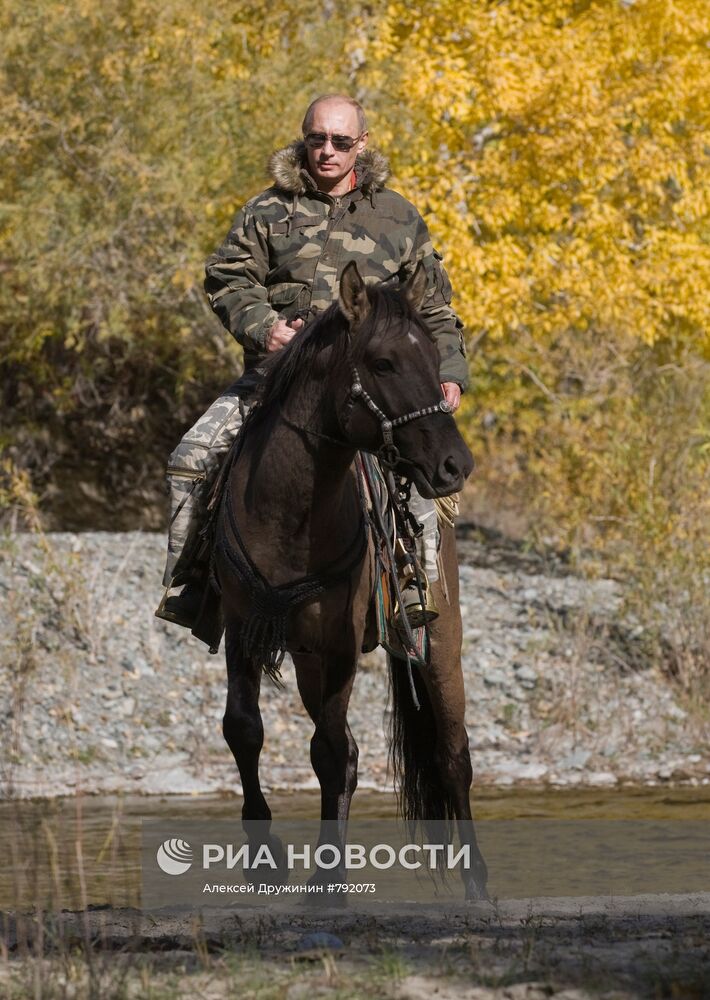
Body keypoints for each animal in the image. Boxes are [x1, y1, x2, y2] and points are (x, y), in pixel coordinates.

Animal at [216, 262, 490, 904]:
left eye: (434, 356)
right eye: (384, 362)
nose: (455, 465)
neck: (288, 516)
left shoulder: (340, 642)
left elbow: (329, 750)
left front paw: (328, 878)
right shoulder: (244, 631)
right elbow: (246, 731)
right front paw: (267, 863)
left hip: (439, 644)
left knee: (452, 754)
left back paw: (477, 882)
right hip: (307, 659)